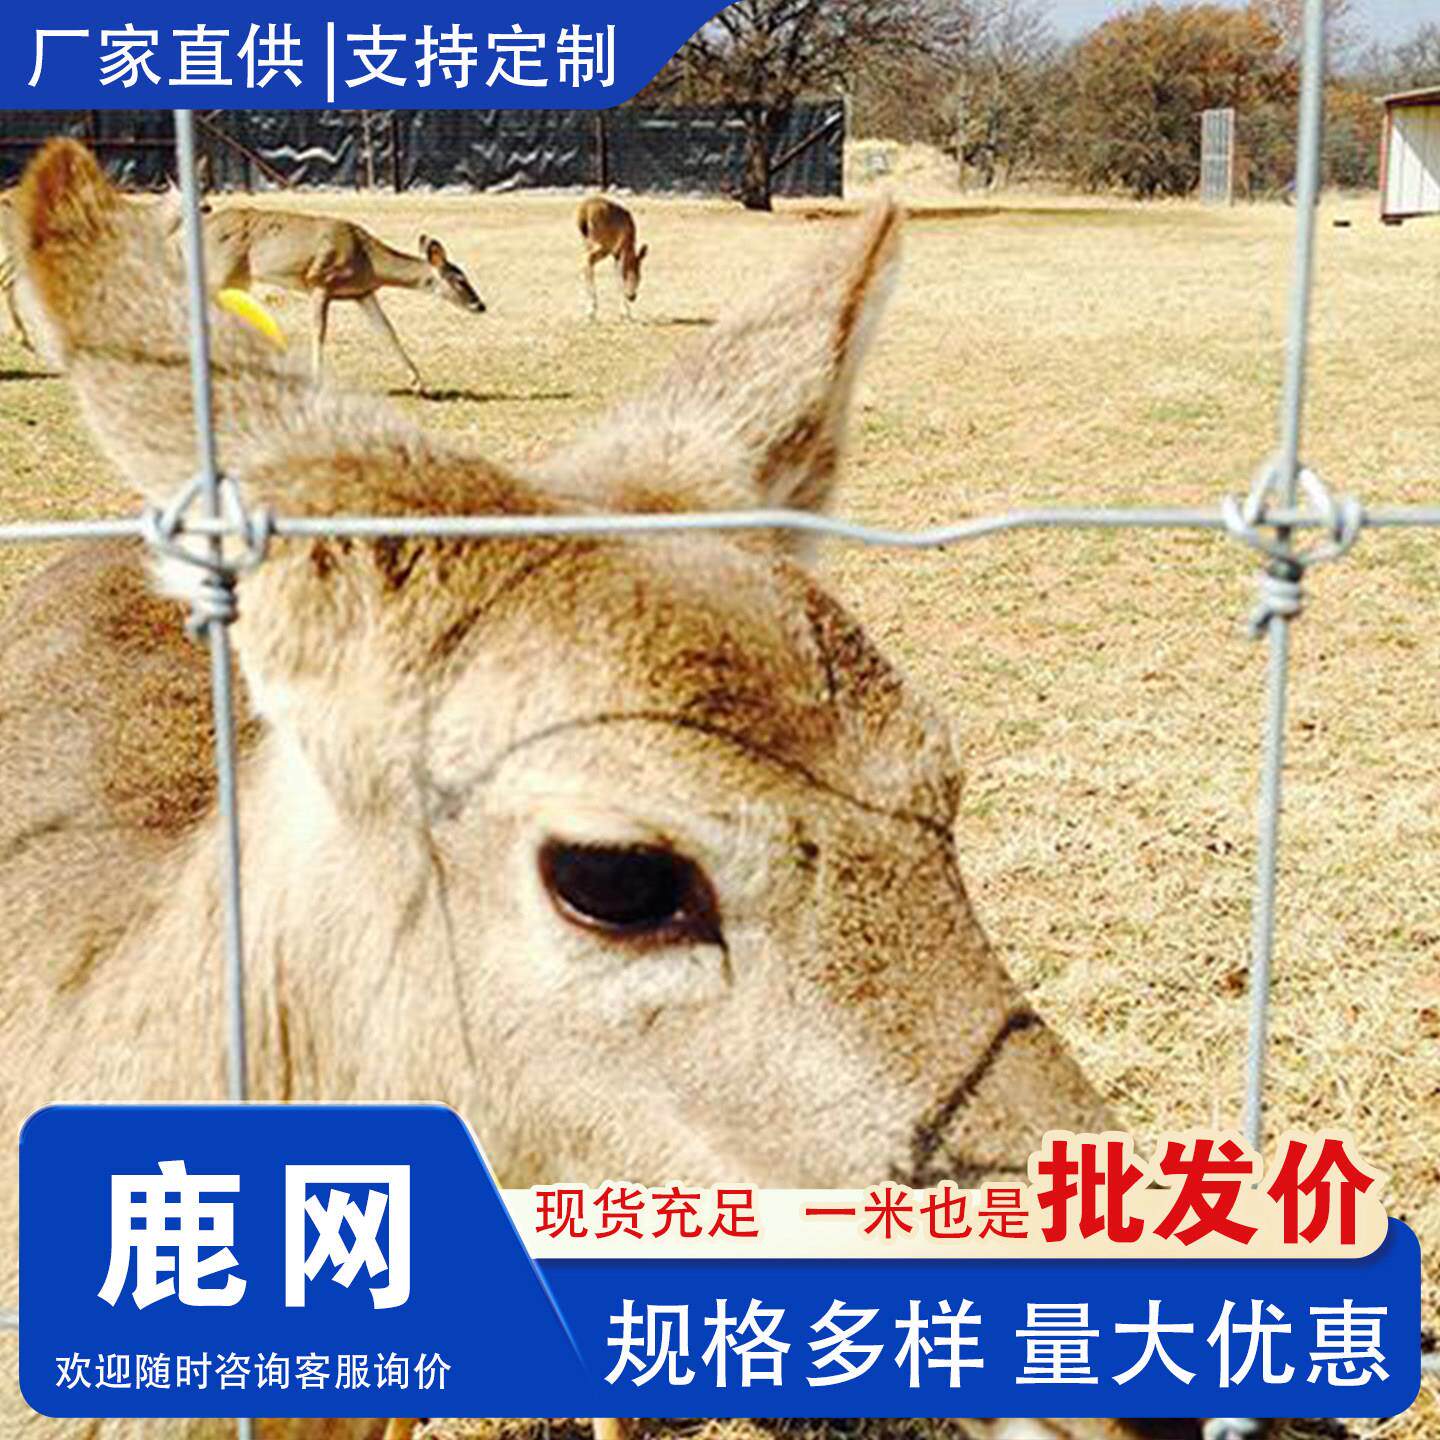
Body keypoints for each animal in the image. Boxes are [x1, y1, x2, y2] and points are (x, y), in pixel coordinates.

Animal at [201, 204, 486, 391]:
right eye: (460, 279)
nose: (480, 305)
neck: (368, 262)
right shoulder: (319, 281)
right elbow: (319, 331)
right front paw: (317, 379)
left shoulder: (363, 293)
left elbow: (387, 331)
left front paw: (418, 382)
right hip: (220, 273)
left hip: (237, 281)